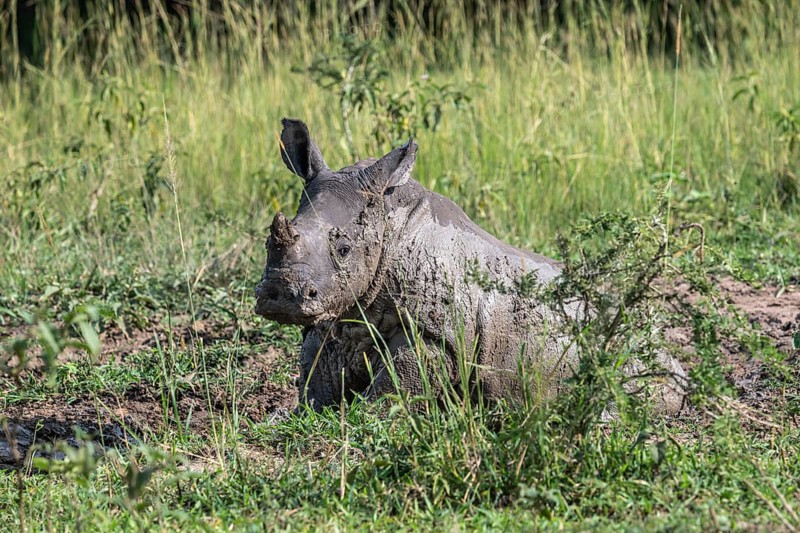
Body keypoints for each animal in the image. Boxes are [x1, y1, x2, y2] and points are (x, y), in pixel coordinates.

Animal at [255, 119, 686, 414]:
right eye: (267, 241)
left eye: (344, 249)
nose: (280, 296)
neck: (389, 227)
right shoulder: (338, 313)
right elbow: (314, 380)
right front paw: (292, 414)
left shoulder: (437, 333)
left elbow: (393, 391)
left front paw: (365, 414)